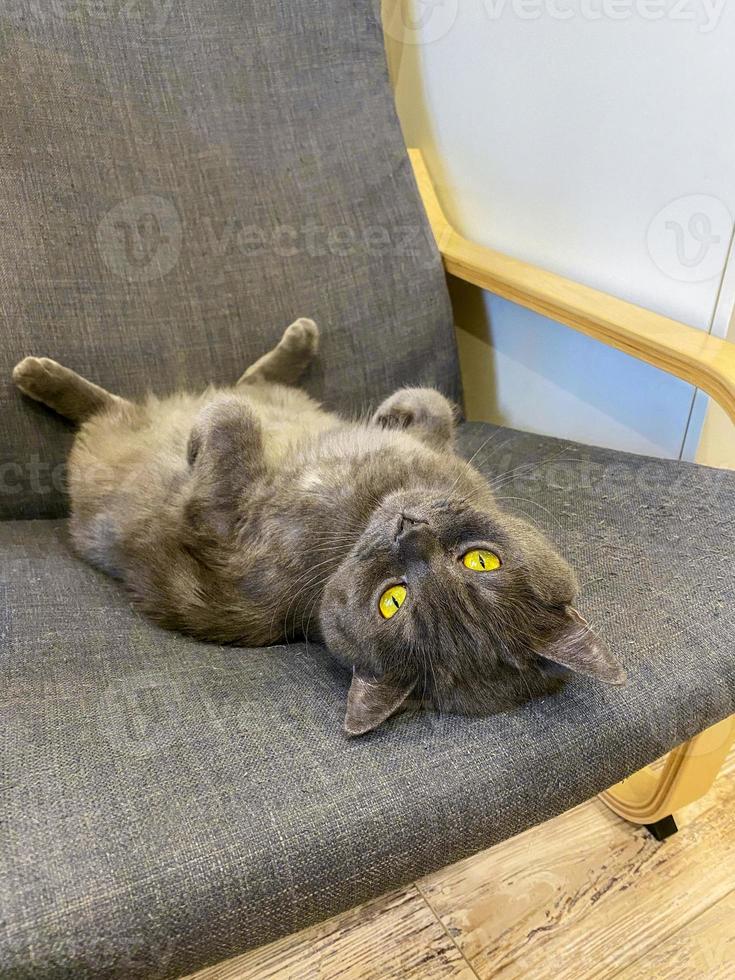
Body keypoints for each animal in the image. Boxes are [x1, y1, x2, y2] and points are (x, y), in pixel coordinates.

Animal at [11, 320, 624, 736]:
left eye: (392, 601)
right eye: (481, 558)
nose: (409, 533)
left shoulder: (221, 520)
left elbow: (230, 425)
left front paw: (199, 438)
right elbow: (434, 402)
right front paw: (393, 411)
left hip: (111, 447)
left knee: (148, 405)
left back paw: (39, 375)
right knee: (248, 385)